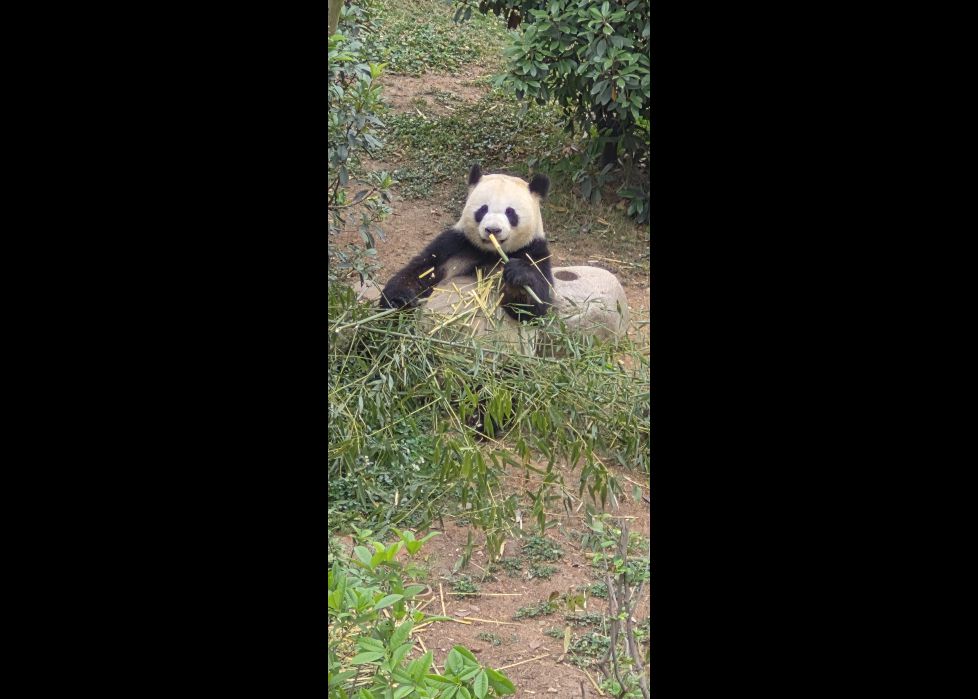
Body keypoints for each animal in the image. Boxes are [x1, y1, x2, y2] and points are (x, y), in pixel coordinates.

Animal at [379, 164, 554, 321]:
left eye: (510, 213)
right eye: (483, 209)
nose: (492, 229)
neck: (491, 252)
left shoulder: (532, 249)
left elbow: (532, 307)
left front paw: (519, 275)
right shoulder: (455, 244)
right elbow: (422, 270)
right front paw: (399, 300)